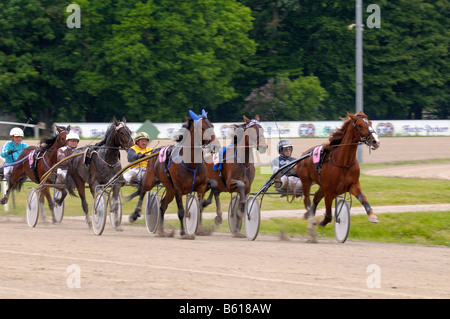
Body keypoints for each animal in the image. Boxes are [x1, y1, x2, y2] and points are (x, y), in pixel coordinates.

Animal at [128, 110, 220, 238]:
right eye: (202, 128)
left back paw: (162, 231)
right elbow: (181, 211)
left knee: (162, 205)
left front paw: (201, 222)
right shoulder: (178, 189)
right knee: (142, 190)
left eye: (212, 126)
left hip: (169, 189)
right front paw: (183, 232)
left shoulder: (201, 186)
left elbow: (212, 186)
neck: (190, 163)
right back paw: (135, 214)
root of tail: (154, 151)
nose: (215, 146)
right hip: (150, 180)